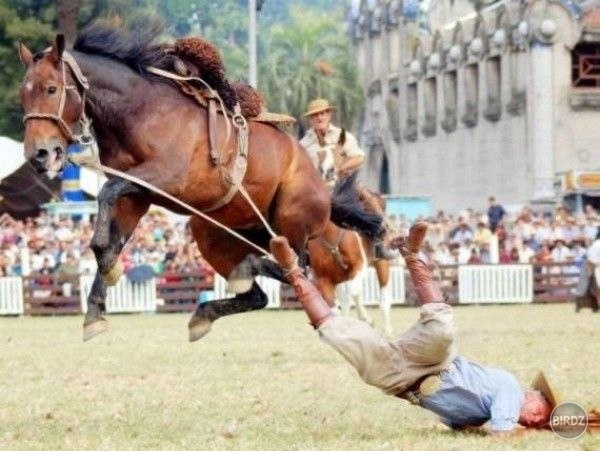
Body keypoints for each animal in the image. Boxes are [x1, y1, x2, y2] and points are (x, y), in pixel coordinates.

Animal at [19, 20, 384, 340]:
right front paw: (97, 306)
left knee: (296, 268)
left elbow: (107, 192)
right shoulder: (136, 195)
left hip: (290, 224)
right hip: (213, 233)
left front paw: (108, 272)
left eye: (51, 89)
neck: (141, 113)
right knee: (259, 293)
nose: (38, 154)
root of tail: (323, 189)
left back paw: (258, 268)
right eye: (23, 94)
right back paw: (208, 309)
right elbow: (109, 235)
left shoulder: (165, 180)